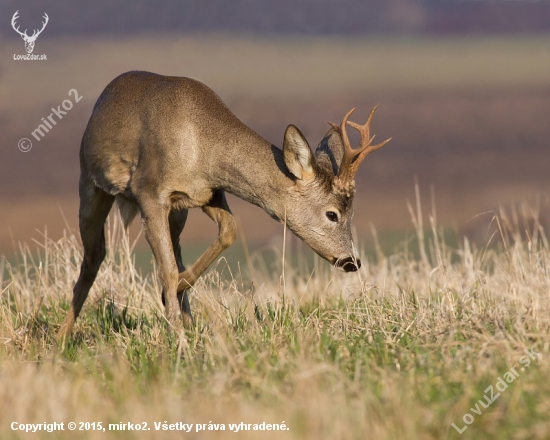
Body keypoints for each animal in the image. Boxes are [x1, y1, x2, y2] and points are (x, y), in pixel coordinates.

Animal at [58, 71, 390, 336]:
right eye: (332, 214)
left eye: (352, 212)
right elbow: (166, 270)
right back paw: (62, 339)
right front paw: (175, 336)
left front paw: (178, 297)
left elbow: (228, 231)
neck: (201, 143)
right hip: (91, 185)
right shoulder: (149, 192)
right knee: (94, 257)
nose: (352, 261)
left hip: (178, 214)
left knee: (173, 252)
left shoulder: (209, 192)